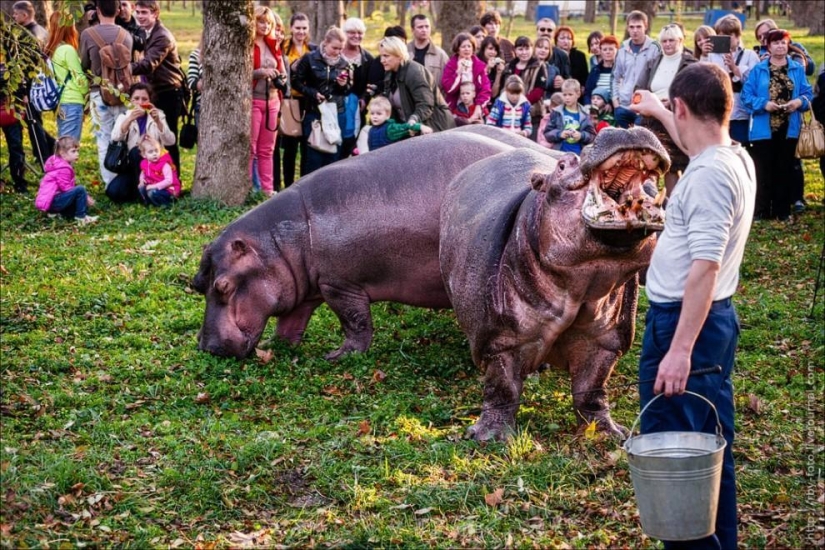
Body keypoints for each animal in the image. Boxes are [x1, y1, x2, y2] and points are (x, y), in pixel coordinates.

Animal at [193, 129, 534, 360]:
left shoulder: (339, 285)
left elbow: (355, 322)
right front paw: (275, 345)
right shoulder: (303, 291)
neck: (279, 244)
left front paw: (339, 355)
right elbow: (290, 323)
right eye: (197, 284)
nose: (208, 348)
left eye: (223, 286)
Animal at [439, 127, 671, 441]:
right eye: (562, 165)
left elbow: (593, 389)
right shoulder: (501, 340)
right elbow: (502, 387)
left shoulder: (606, 339)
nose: (623, 128)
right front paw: (490, 437)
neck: (581, 287)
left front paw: (608, 432)